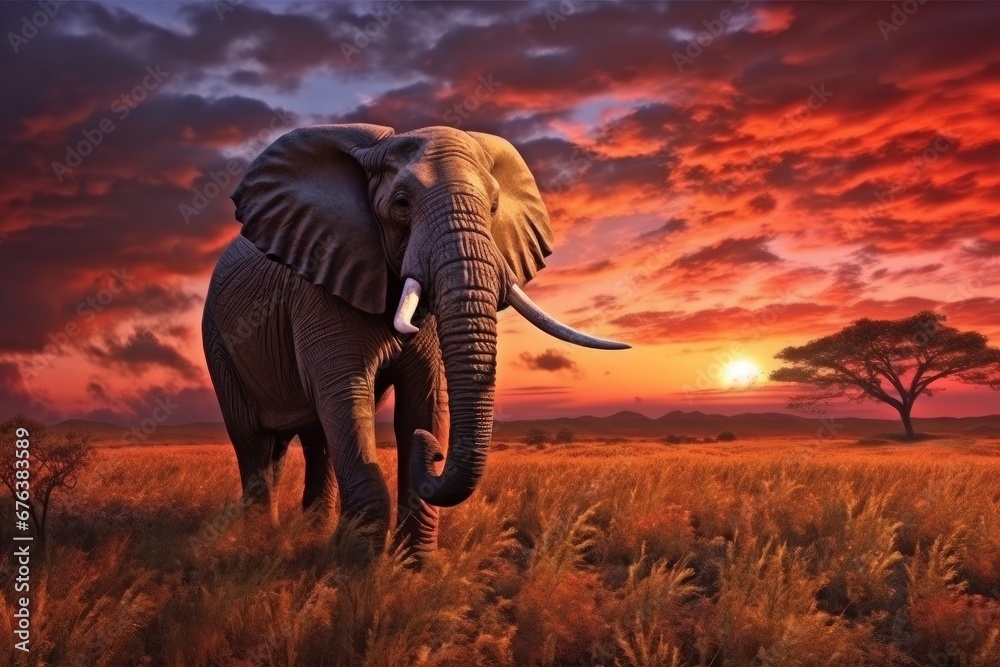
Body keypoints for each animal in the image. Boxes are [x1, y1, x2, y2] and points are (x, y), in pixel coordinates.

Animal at [202, 123, 628, 558]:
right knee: (255, 441)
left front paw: (413, 564)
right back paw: (262, 540)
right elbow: (345, 393)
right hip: (217, 339)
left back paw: (308, 535)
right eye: (402, 203)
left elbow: (425, 399)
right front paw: (358, 562)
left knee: (311, 438)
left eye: (493, 207)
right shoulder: (318, 284)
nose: (435, 451)